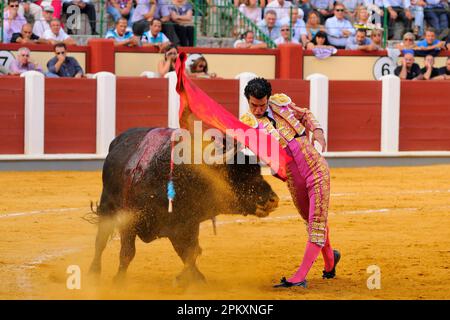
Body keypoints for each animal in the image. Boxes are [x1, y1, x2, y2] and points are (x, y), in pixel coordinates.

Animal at [89, 126, 280, 284]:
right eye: (239, 174)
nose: (273, 199)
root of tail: (117, 141)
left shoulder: (185, 224)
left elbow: (191, 253)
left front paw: (193, 279)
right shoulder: (130, 221)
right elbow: (127, 253)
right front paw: (119, 281)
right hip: (107, 205)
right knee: (100, 240)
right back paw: (94, 271)